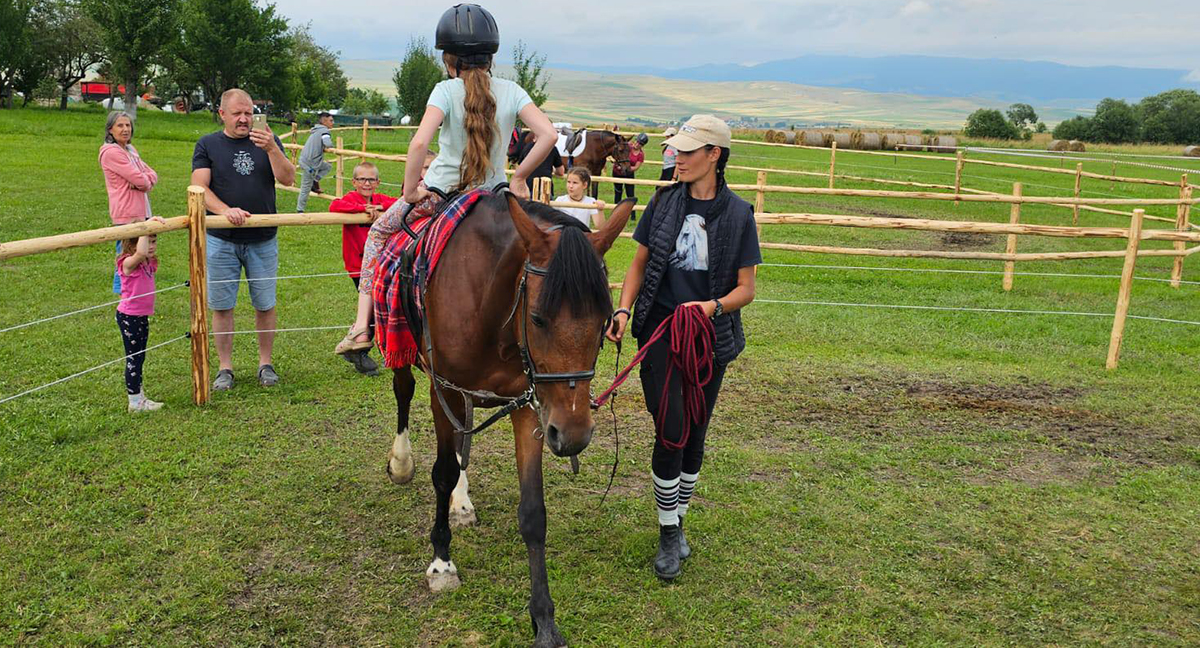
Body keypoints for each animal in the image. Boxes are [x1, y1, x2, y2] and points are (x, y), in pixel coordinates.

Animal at [384, 192, 638, 648]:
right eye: (537, 318)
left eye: (605, 320)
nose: (574, 436)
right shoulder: (444, 390)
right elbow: (442, 472)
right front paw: (441, 562)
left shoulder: (530, 406)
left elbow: (533, 511)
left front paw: (544, 621)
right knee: (403, 392)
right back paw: (402, 463)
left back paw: (461, 502)